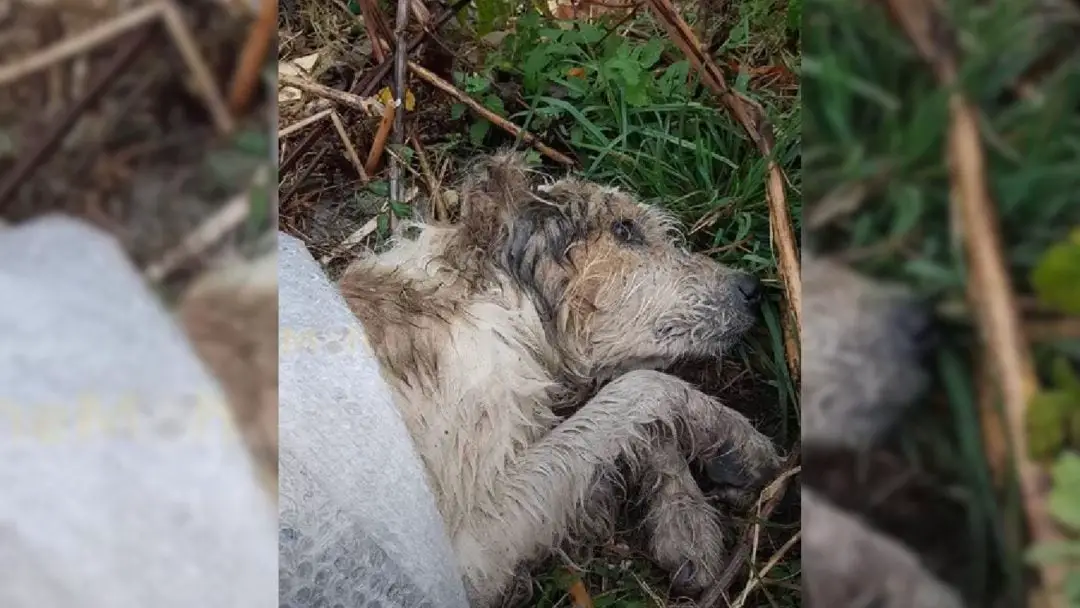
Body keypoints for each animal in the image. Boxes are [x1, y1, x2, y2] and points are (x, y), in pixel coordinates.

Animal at [336, 151, 786, 604]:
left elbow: (634, 405)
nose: (754, 288)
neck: (486, 300)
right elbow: (645, 387)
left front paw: (687, 517)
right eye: (624, 229)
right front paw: (737, 440)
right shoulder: (468, 545)